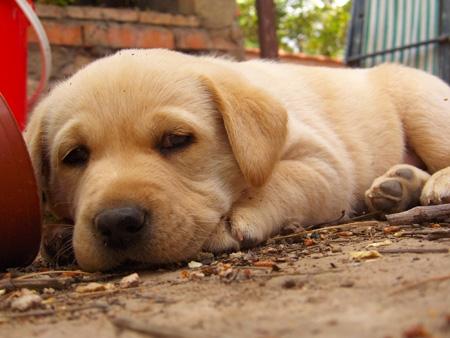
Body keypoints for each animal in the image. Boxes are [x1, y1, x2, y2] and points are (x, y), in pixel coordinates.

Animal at [25, 48, 450, 270]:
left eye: (177, 140)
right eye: (74, 156)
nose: (116, 223)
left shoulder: (327, 167)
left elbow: (282, 180)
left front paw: (236, 216)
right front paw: (57, 235)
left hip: (423, 105)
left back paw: (434, 184)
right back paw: (399, 184)